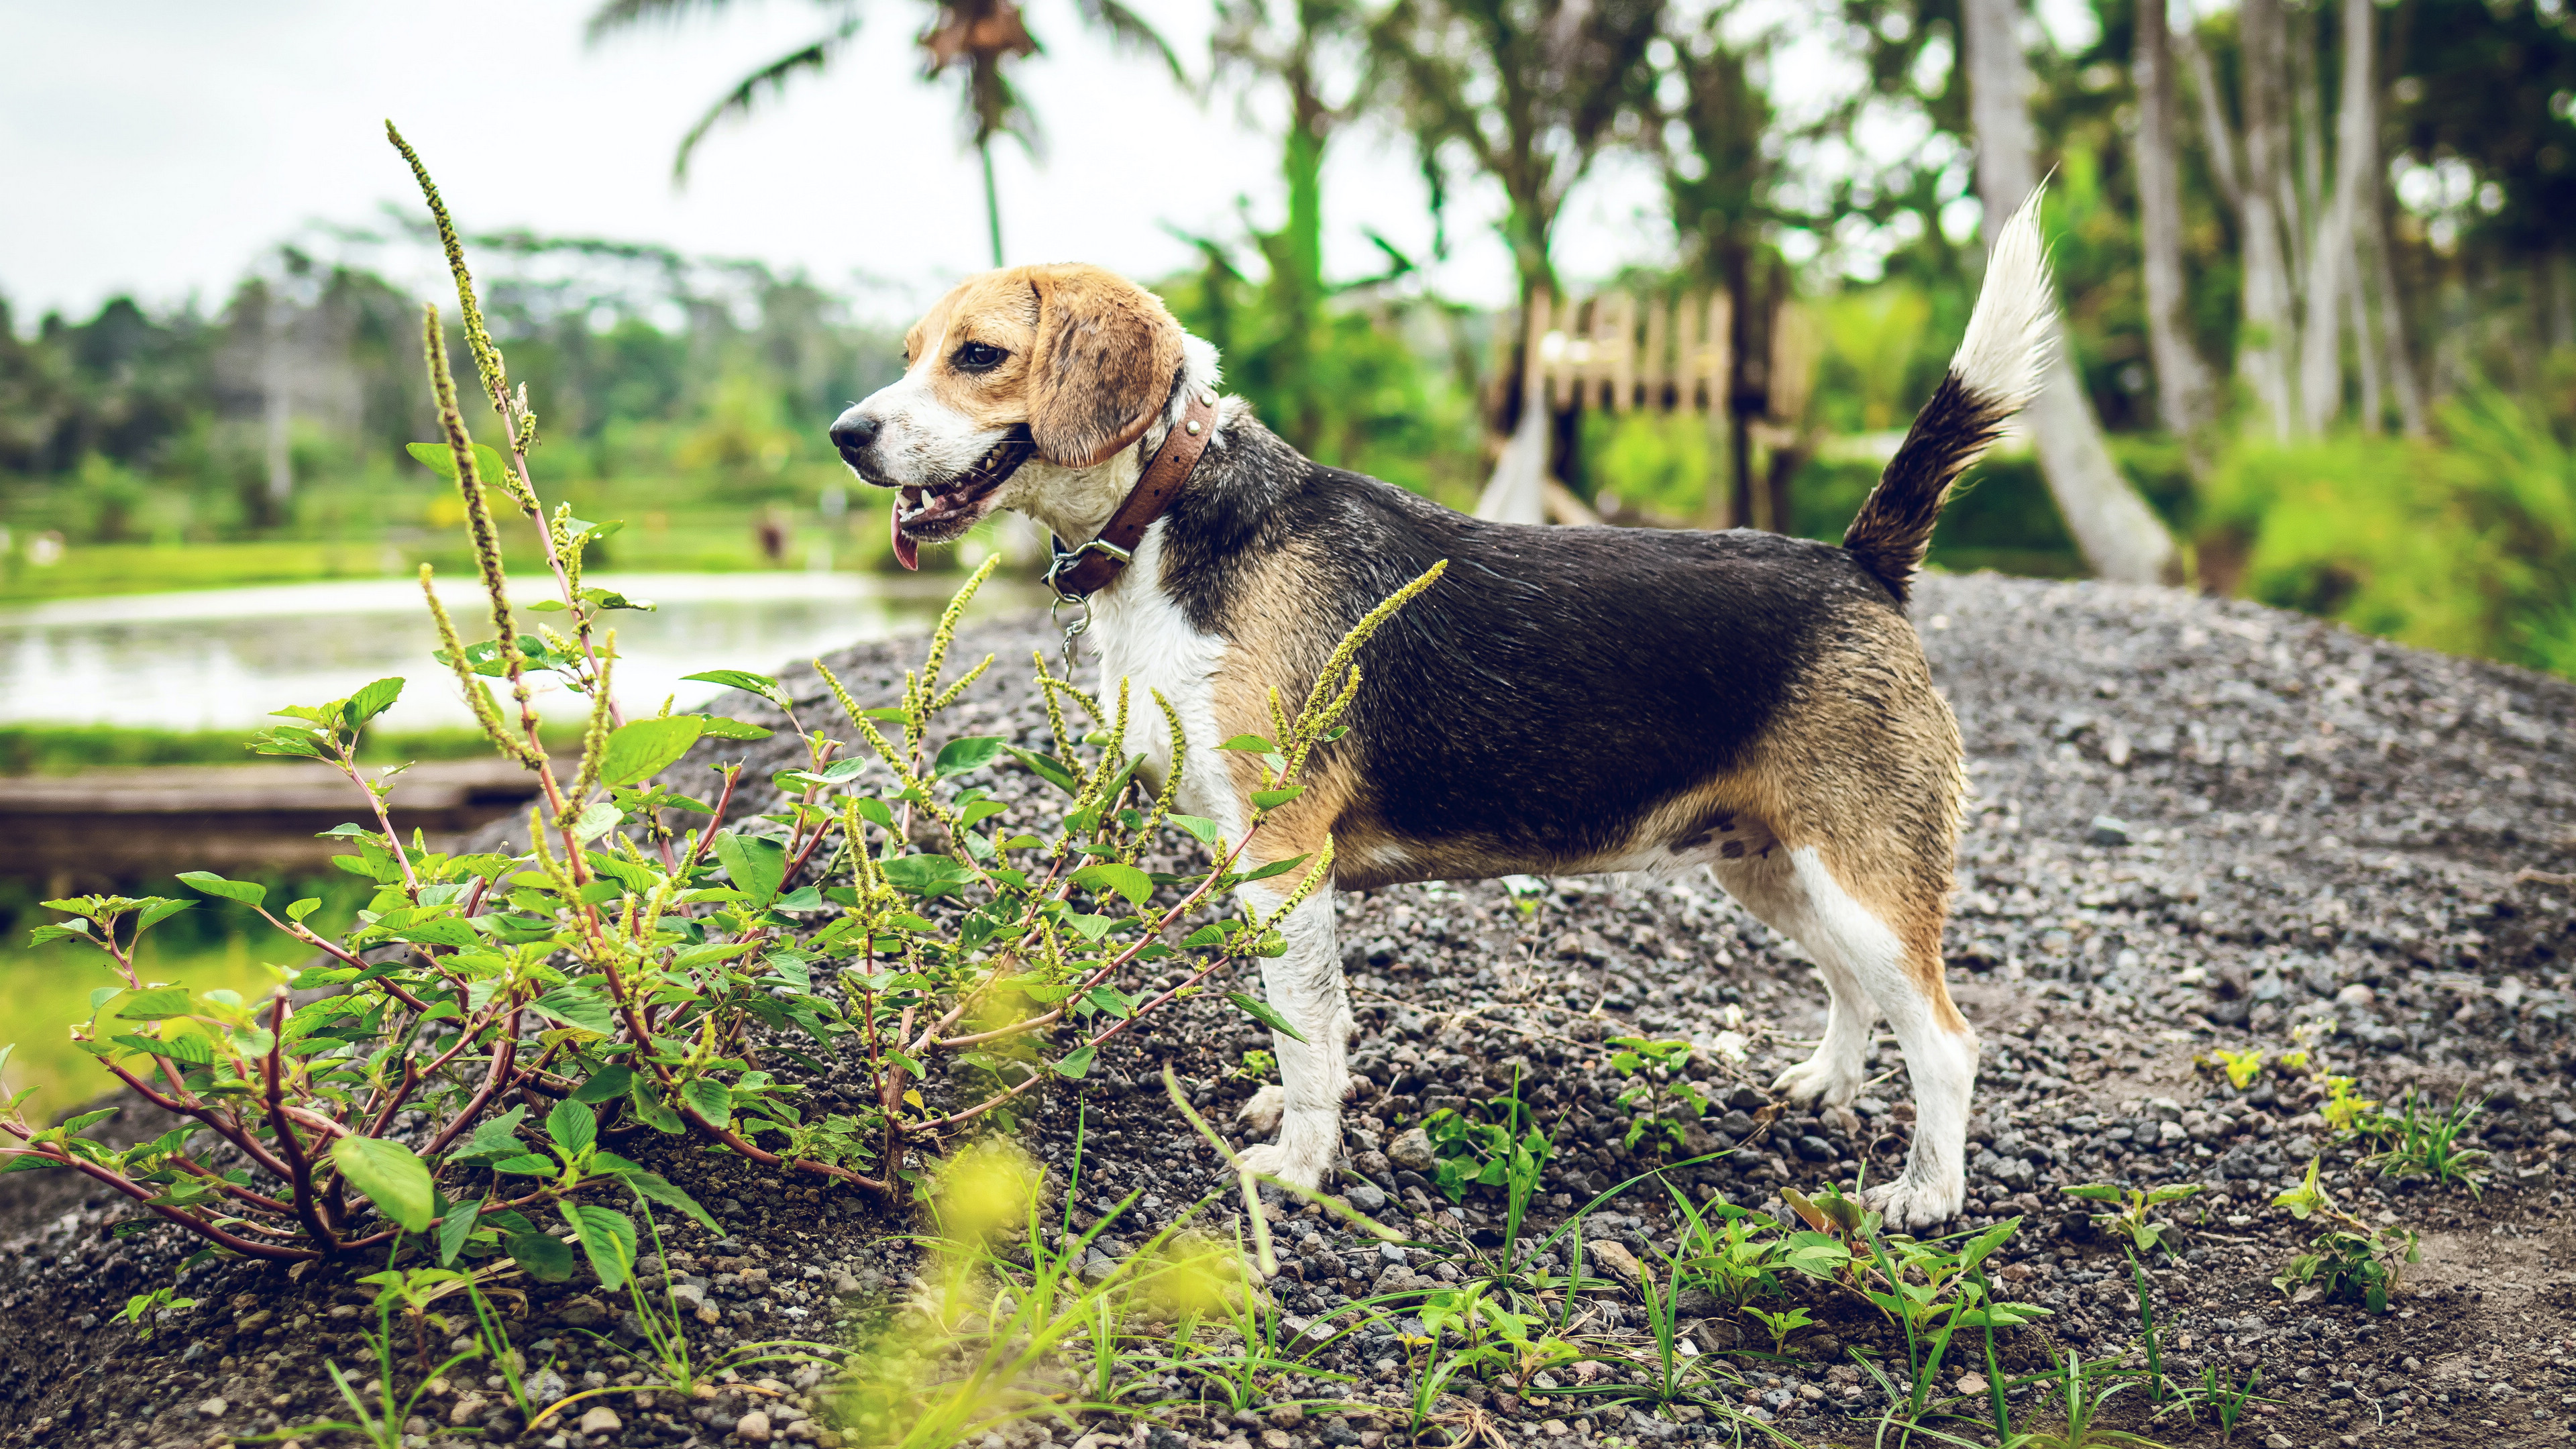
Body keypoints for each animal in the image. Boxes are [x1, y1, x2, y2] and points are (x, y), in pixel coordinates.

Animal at [835, 195, 2061, 1217]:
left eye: (980, 357)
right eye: (910, 358)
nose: (848, 436)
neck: (1173, 506)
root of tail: (1861, 563)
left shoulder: (1282, 854)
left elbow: (1308, 1027)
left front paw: (1300, 1165)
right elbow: (1306, 1021)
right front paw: (1305, 1117)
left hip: (1859, 872)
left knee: (1946, 1042)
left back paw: (1926, 1197)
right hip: (1773, 865)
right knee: (1857, 990)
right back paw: (1825, 1086)